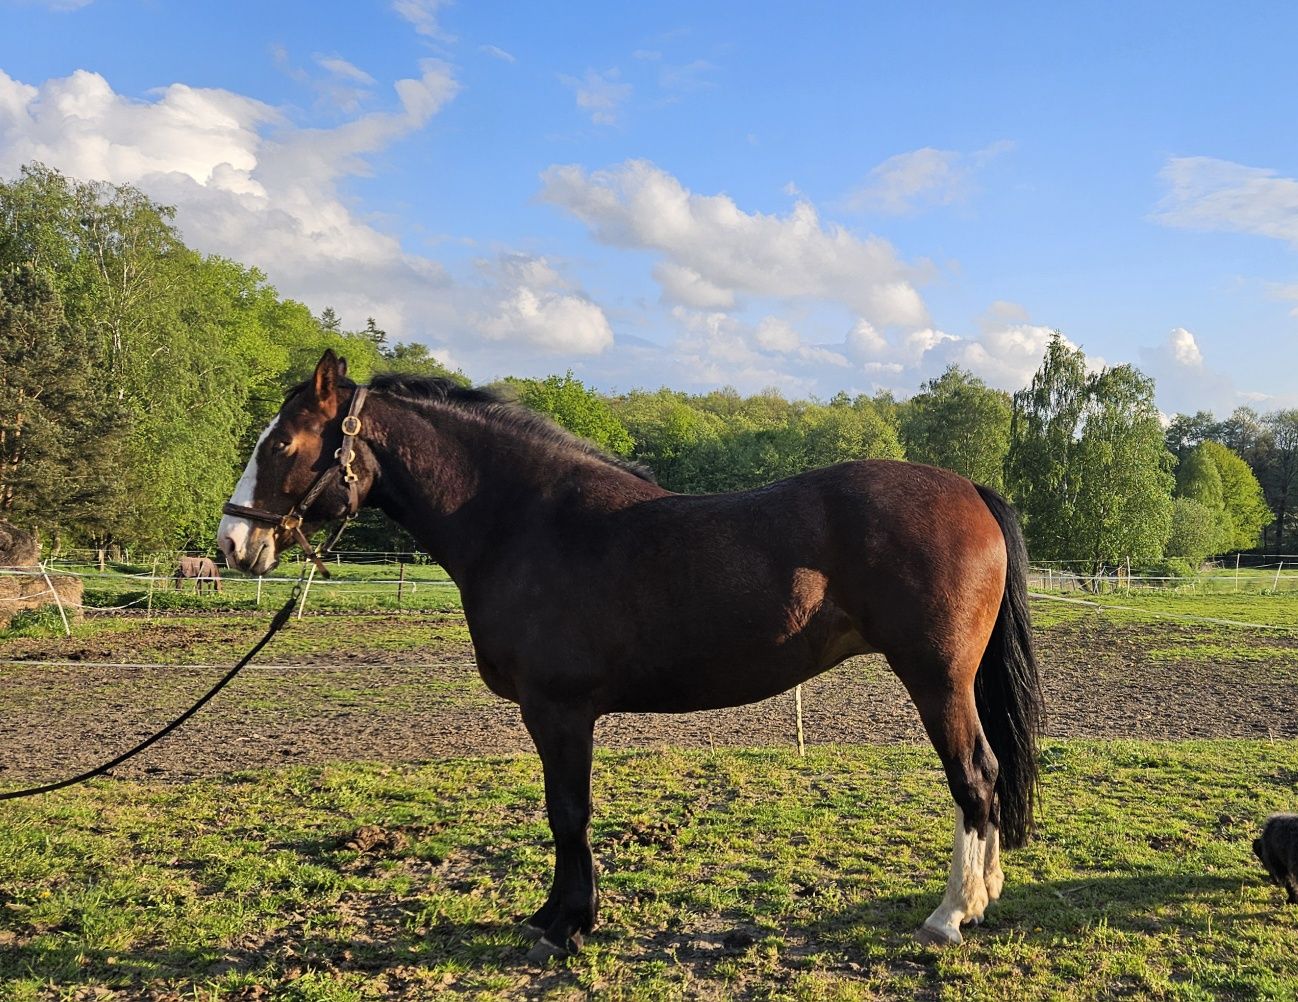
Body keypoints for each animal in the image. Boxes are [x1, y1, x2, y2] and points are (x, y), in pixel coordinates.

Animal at [215, 350, 1043, 955]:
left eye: (282, 443)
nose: (232, 543)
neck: (523, 522)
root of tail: (969, 489)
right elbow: (565, 814)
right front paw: (555, 914)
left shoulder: (558, 711)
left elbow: (568, 812)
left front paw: (567, 923)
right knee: (987, 779)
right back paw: (981, 900)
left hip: (937, 680)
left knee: (975, 776)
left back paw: (949, 916)